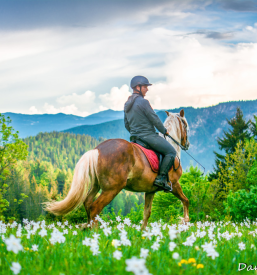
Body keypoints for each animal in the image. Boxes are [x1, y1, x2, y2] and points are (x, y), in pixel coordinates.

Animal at [45, 109, 190, 230]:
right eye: (186, 126)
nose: (187, 145)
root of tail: (97, 149)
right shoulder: (174, 184)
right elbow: (186, 200)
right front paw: (185, 221)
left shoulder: (150, 190)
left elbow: (146, 213)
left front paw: (143, 233)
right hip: (112, 188)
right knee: (95, 208)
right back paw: (96, 234)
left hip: (96, 185)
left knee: (87, 203)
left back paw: (89, 229)